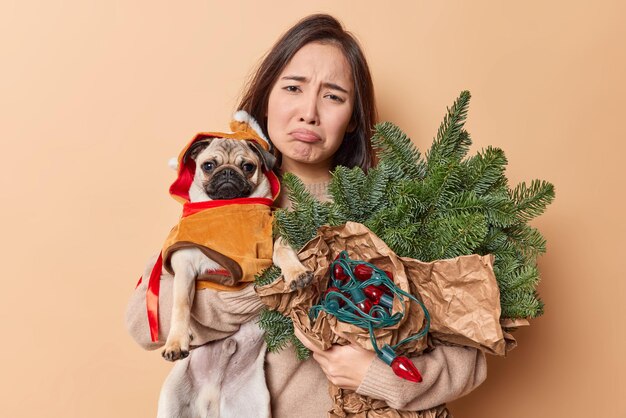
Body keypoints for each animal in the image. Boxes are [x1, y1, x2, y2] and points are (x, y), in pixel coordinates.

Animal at [158, 138, 310, 362]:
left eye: (247, 167)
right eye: (208, 166)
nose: (228, 172)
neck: (229, 207)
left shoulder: (274, 237)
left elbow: (283, 251)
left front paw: (296, 272)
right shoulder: (184, 265)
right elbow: (181, 304)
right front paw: (176, 342)